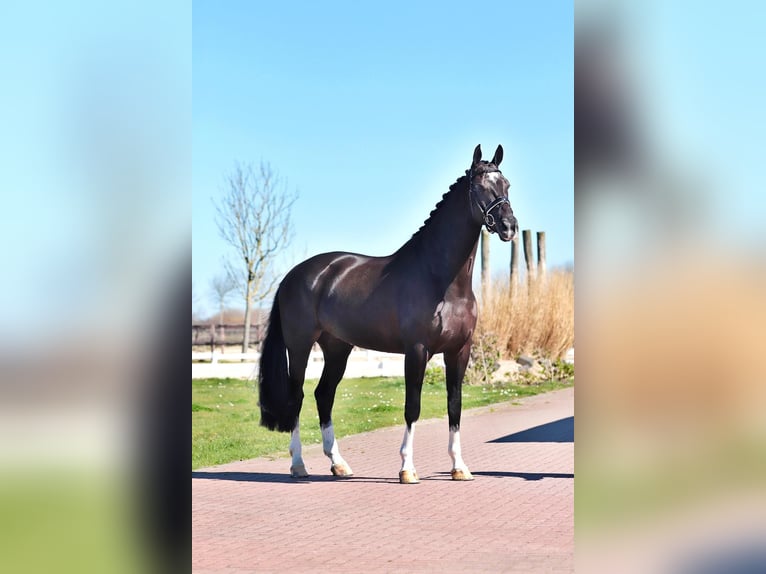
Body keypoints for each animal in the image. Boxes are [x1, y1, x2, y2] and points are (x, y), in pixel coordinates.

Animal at [258, 144, 518, 483]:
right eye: (480, 188)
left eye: (507, 185)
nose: (509, 227)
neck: (441, 280)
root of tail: (294, 275)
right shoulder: (417, 350)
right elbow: (412, 407)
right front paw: (407, 468)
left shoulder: (460, 351)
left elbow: (455, 407)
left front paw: (459, 467)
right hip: (300, 346)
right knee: (297, 397)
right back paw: (298, 465)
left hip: (337, 348)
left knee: (323, 395)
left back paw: (338, 464)